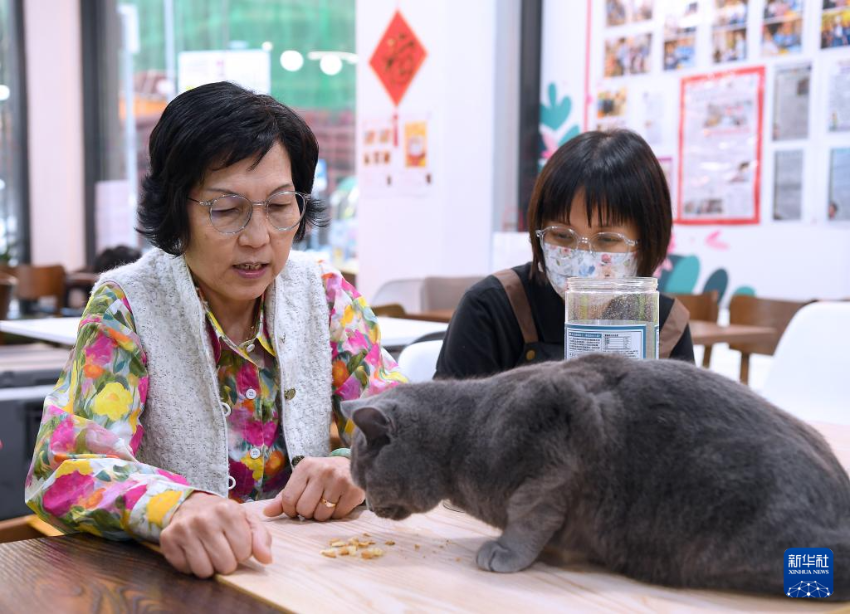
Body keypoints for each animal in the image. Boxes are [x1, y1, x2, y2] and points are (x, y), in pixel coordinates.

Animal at [342, 354, 848, 600]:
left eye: (364, 476)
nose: (368, 503)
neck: (460, 434)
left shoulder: (554, 453)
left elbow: (529, 513)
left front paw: (504, 551)